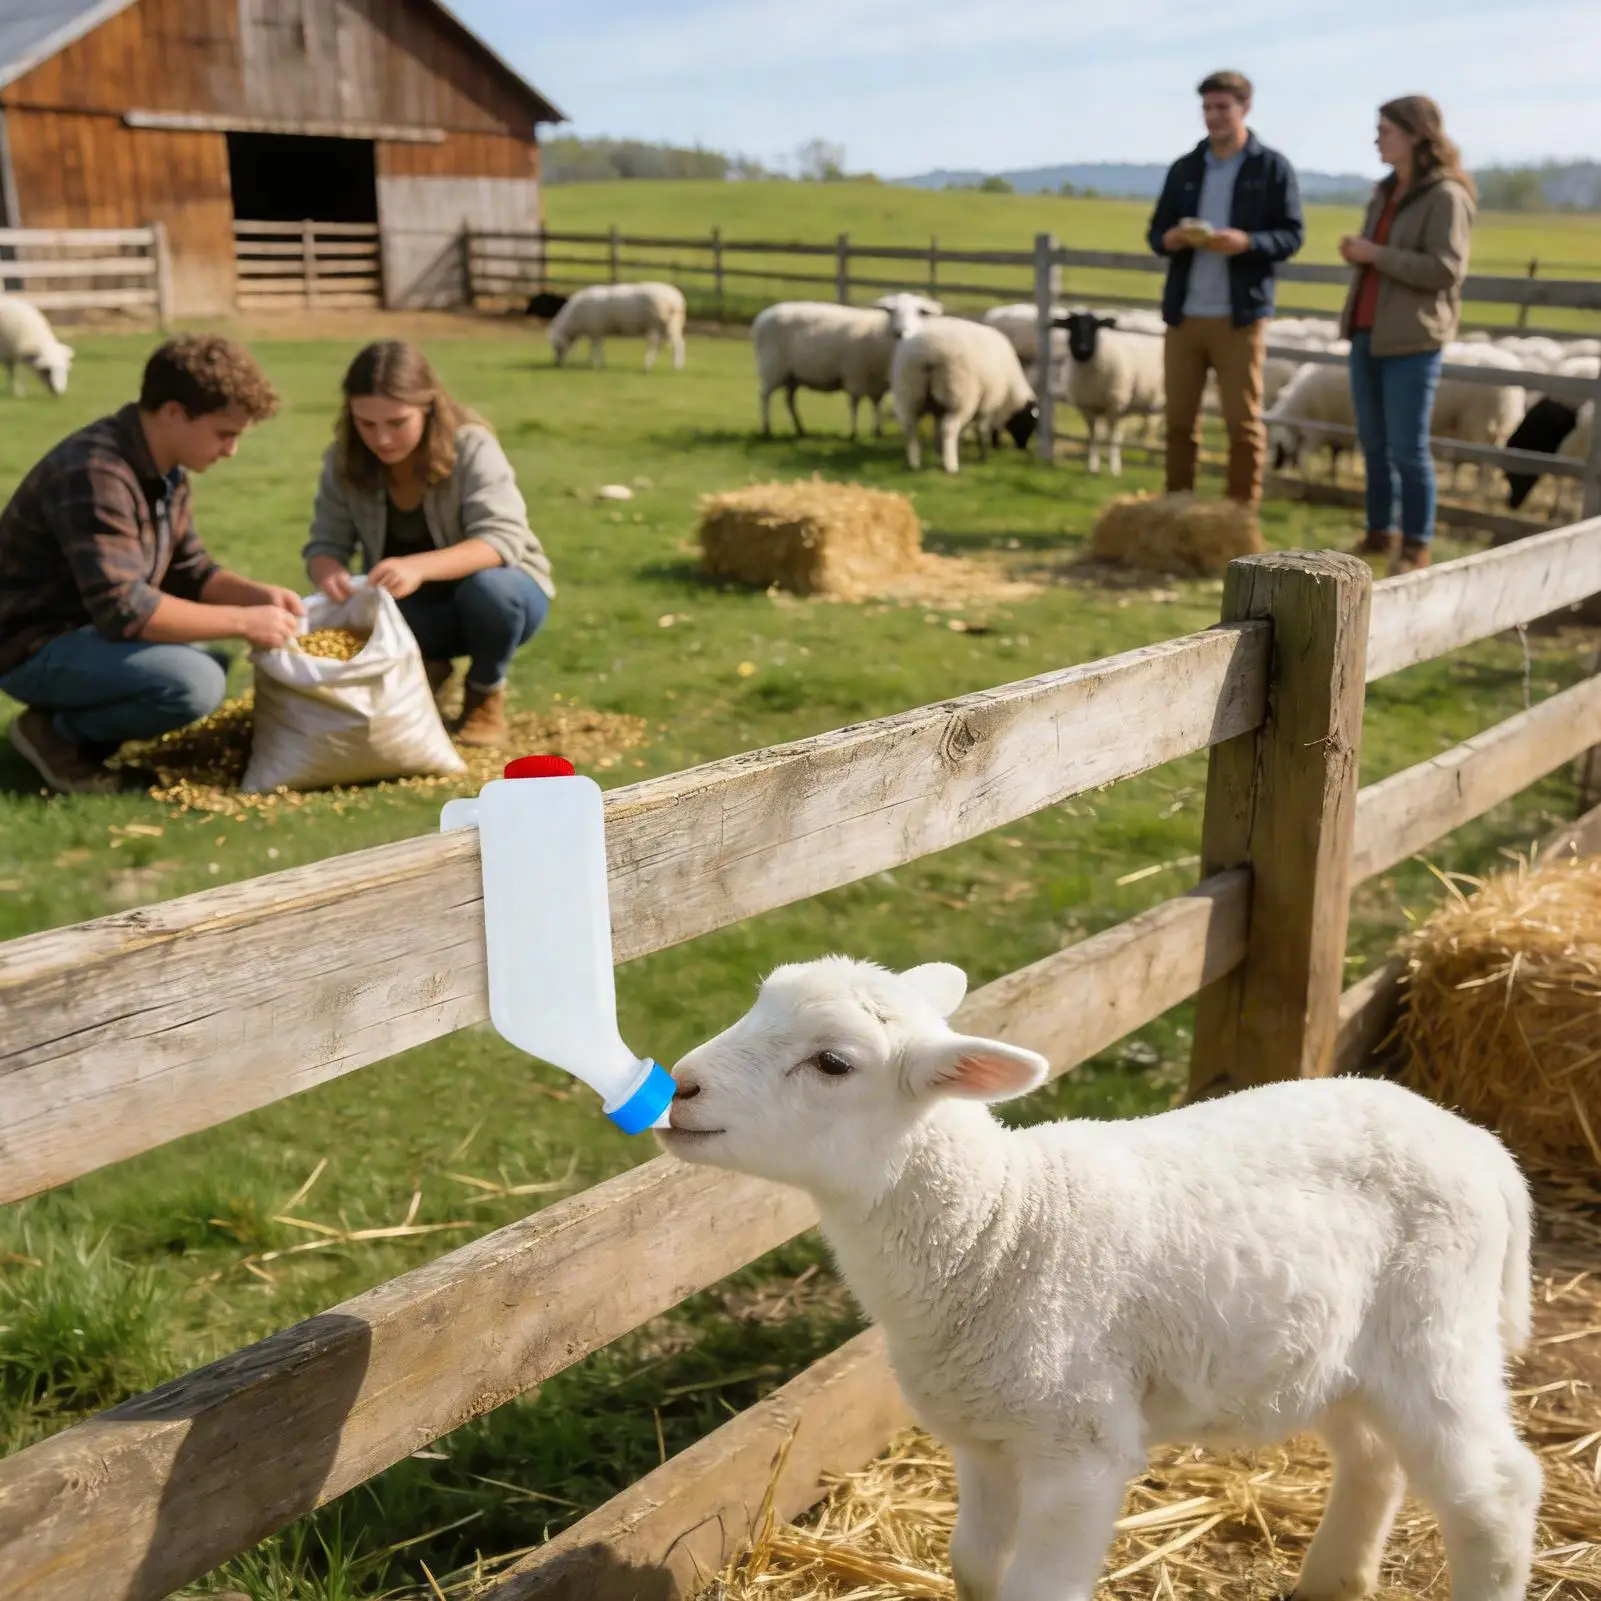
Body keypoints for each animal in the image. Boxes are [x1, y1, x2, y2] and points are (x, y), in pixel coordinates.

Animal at [546, 281, 687, 371]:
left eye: (556, 345)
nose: (556, 364)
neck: (575, 321)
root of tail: (677, 300)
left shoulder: (595, 330)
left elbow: (595, 347)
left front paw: (593, 363)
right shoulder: (599, 331)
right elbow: (600, 346)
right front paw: (601, 363)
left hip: (657, 323)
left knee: (668, 345)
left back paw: (671, 366)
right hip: (670, 324)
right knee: (676, 343)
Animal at [661, 956, 1541, 1601]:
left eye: (832, 1062)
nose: (679, 1084)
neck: (999, 1228)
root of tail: (1482, 1145)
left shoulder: (1077, 1444)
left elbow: (1034, 1589)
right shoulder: (984, 1437)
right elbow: (974, 1568)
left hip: (1435, 1329)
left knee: (1496, 1493)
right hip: (1341, 1355)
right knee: (1373, 1459)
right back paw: (1331, 1579)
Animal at [752, 294, 941, 438]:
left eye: (919, 312)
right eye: (891, 311)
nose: (901, 332)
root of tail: (761, 318)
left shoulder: (878, 382)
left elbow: (877, 406)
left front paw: (878, 432)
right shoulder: (854, 375)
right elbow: (854, 403)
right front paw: (853, 434)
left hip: (792, 376)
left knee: (789, 401)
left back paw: (800, 430)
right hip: (772, 368)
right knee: (764, 397)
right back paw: (767, 430)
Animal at [889, 317, 1037, 473]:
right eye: (1028, 422)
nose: (1022, 447)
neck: (1010, 388)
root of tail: (928, 352)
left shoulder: (939, 408)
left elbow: (938, 428)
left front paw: (939, 451)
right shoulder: (989, 403)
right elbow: (980, 428)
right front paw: (982, 455)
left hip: (910, 392)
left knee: (910, 426)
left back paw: (914, 463)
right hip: (959, 395)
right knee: (949, 427)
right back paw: (951, 465)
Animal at [1055, 311, 1164, 475]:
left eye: (1094, 327)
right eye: (1071, 326)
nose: (1082, 348)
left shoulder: (1115, 405)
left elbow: (1113, 437)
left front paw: (1114, 468)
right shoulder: (1088, 408)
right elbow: (1094, 436)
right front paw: (1092, 466)